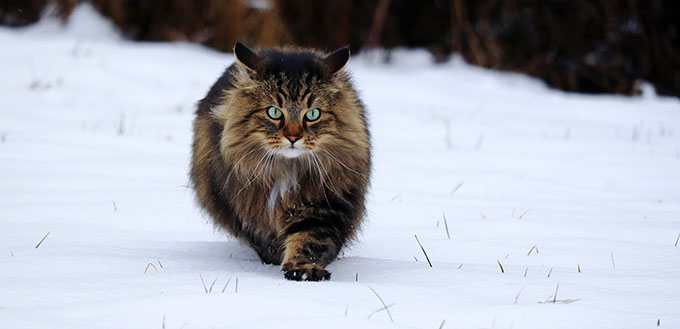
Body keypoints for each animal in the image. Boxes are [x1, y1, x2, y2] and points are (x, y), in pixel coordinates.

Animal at [189, 42, 372, 280]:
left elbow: (310, 240)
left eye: (313, 114)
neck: (287, 170)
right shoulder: (246, 205)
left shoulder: (326, 205)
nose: (293, 137)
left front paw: (303, 269)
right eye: (274, 112)